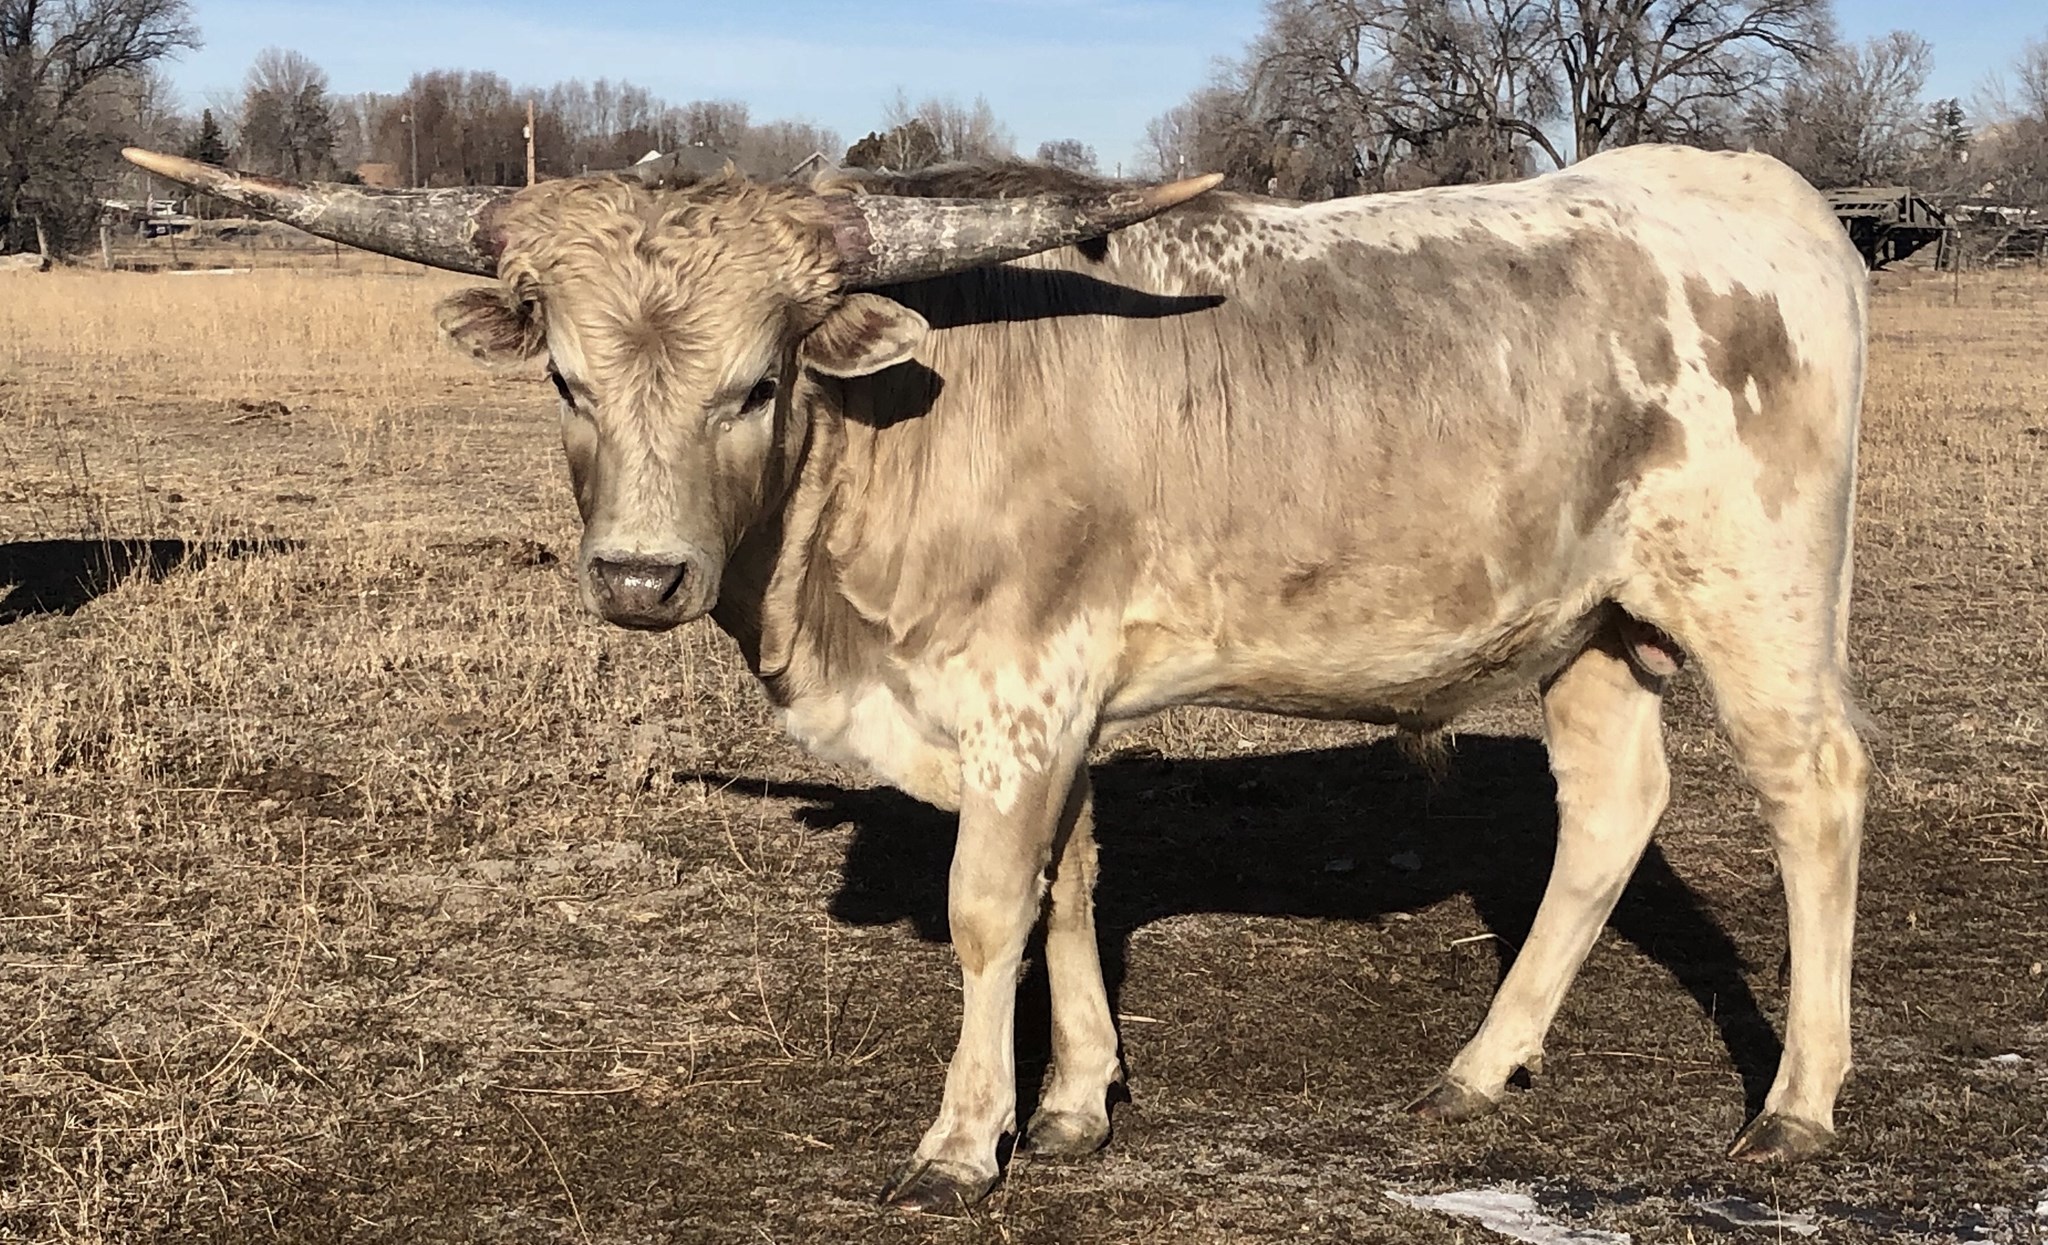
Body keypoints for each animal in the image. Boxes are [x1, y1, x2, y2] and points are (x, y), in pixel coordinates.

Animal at [125, 143, 1871, 1213]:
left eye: (758, 382)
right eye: (563, 377)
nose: (635, 577)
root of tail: (1757, 190)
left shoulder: (1028, 689)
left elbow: (986, 908)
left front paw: (966, 1140)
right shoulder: (1067, 701)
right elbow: (1074, 884)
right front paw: (1084, 1097)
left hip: (1759, 598)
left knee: (1815, 795)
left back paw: (1795, 1101)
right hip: (1590, 626)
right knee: (1611, 809)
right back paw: (1482, 1065)